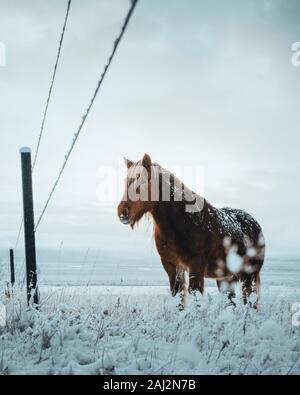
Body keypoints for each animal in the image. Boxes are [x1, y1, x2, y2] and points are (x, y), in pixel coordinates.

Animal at [117, 153, 264, 308]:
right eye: (126, 183)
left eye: (143, 182)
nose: (122, 212)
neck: (183, 222)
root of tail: (254, 224)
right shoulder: (171, 265)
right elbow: (178, 296)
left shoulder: (196, 266)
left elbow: (195, 296)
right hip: (226, 278)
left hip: (248, 275)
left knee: (249, 300)